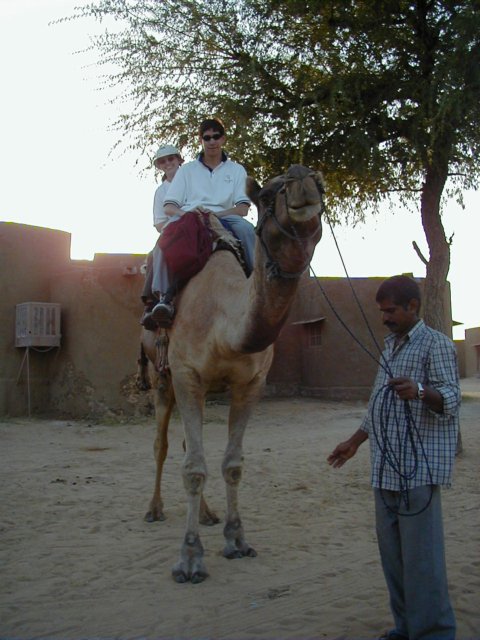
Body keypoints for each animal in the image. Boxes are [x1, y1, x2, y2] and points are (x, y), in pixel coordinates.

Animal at [140, 164, 325, 583]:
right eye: (268, 194)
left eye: (321, 186)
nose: (303, 180)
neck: (226, 322)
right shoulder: (186, 375)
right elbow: (193, 468)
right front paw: (190, 559)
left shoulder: (250, 384)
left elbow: (232, 464)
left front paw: (237, 540)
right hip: (162, 378)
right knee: (161, 445)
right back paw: (154, 509)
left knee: (187, 445)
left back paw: (208, 515)